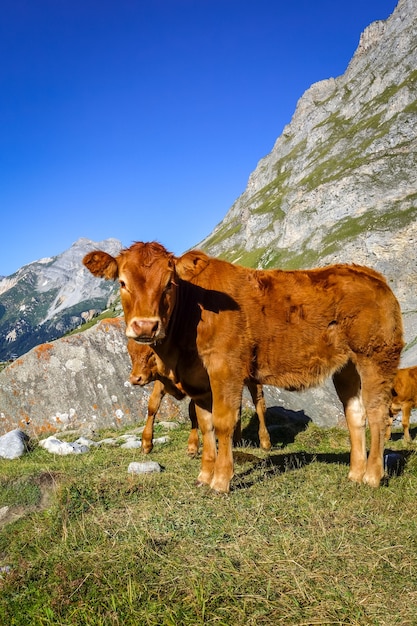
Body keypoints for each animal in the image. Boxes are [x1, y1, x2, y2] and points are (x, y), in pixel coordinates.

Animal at [127, 336, 270, 454]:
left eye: (151, 353)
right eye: (130, 352)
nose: (135, 379)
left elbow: (193, 412)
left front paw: (192, 446)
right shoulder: (162, 381)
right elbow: (153, 405)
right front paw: (146, 444)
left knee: (259, 404)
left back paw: (265, 441)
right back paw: (236, 439)